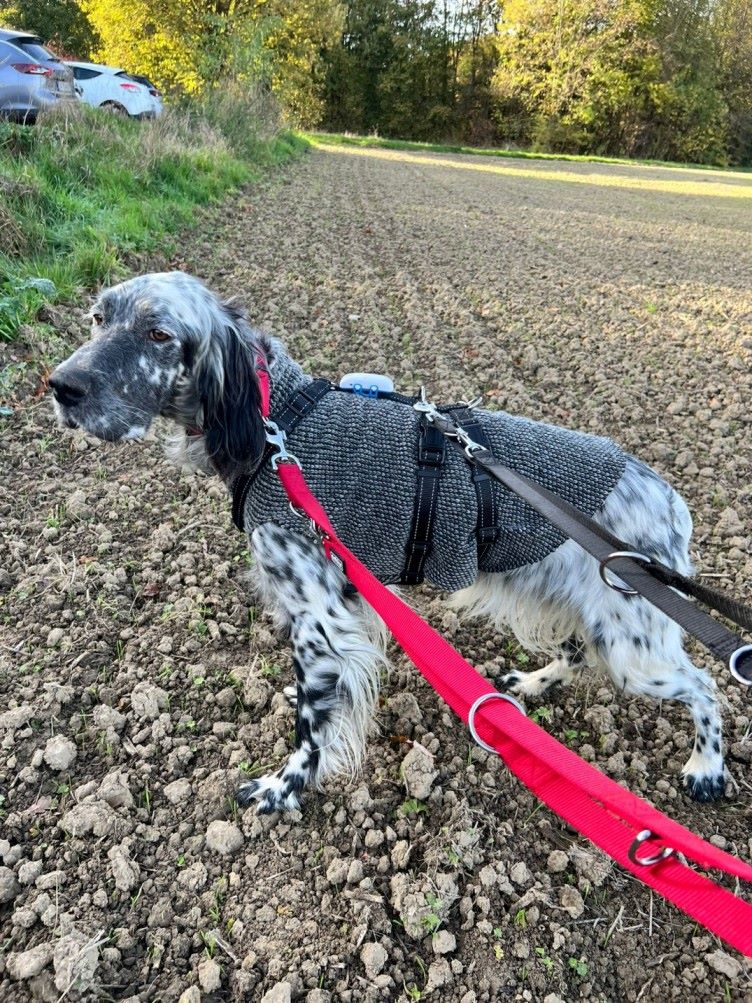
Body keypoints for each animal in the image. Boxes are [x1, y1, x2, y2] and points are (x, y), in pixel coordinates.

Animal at [48, 274, 729, 814]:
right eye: (98, 317)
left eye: (159, 333)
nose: (61, 385)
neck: (278, 424)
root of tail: (669, 499)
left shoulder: (319, 619)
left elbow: (311, 725)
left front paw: (284, 788)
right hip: (587, 610)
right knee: (578, 655)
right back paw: (530, 688)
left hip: (634, 647)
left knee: (705, 686)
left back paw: (707, 769)